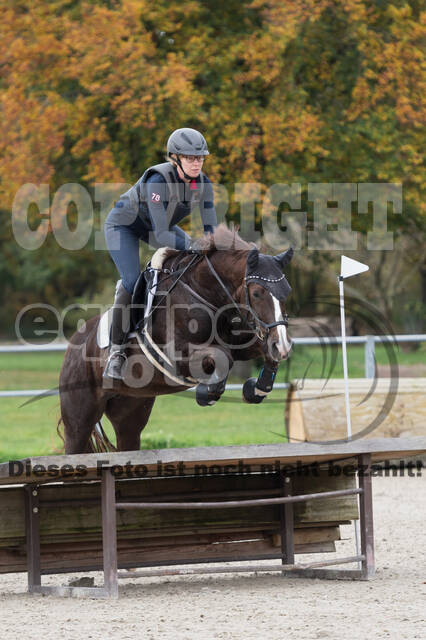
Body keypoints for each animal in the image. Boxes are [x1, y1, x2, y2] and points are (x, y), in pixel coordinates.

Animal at [59, 226, 292, 456]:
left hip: (130, 413)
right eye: (257, 293)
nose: (282, 345)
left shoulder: (241, 344)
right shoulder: (178, 357)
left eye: (287, 292)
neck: (204, 291)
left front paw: (256, 389)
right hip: (79, 419)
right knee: (75, 441)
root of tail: (73, 345)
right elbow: (223, 356)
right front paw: (206, 393)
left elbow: (261, 351)